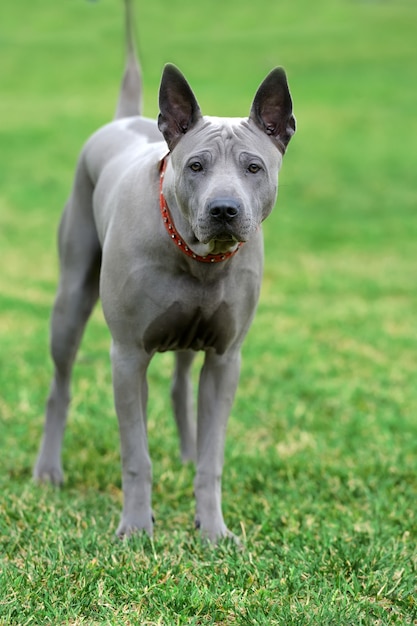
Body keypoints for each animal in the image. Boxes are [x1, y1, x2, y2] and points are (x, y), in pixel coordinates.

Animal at [33, 0, 296, 540]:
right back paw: (48, 470)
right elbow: (136, 455)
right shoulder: (128, 357)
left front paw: (213, 531)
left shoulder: (226, 361)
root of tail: (124, 119)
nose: (224, 209)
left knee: (179, 386)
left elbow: (213, 459)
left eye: (253, 167)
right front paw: (136, 528)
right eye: (195, 165)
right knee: (60, 386)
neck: (199, 259)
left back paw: (187, 452)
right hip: (70, 302)